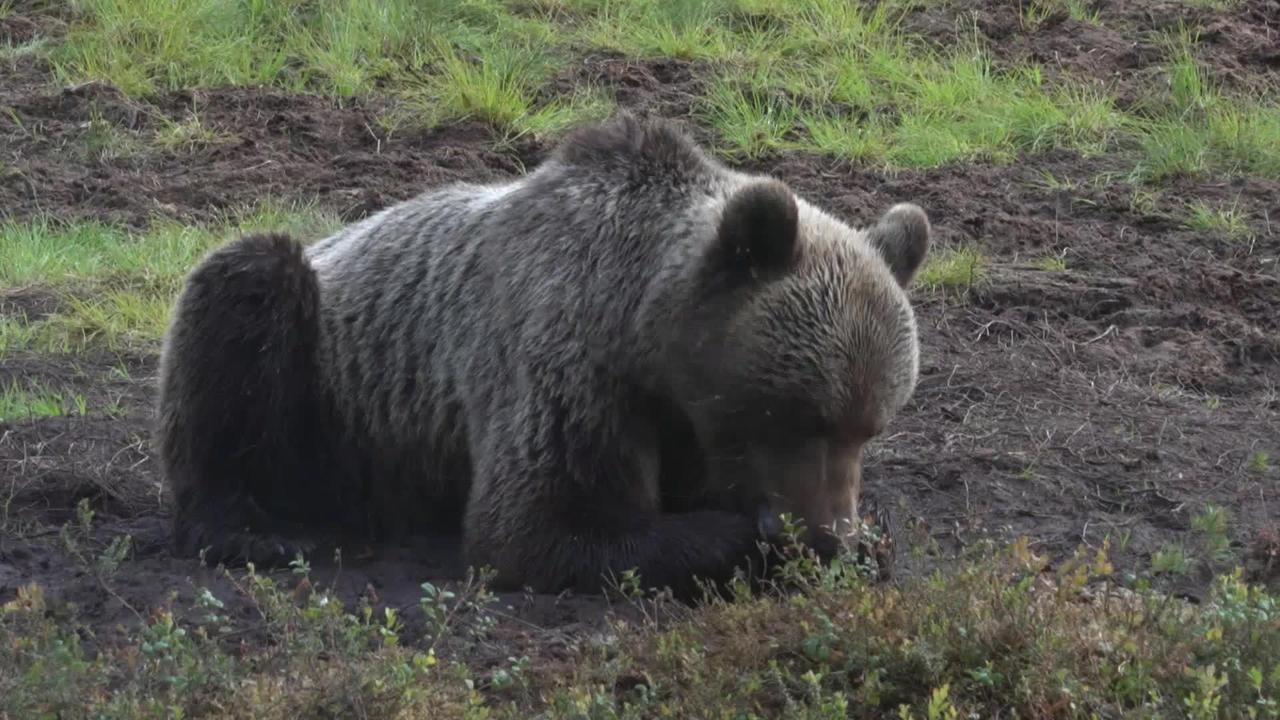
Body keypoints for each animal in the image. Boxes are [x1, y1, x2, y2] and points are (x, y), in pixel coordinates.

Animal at [157, 113, 931, 599]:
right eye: (801, 414)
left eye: (872, 425)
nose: (829, 532)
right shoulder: (571, 367)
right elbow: (543, 526)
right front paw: (757, 539)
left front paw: (867, 546)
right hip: (331, 390)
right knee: (244, 302)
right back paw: (257, 532)